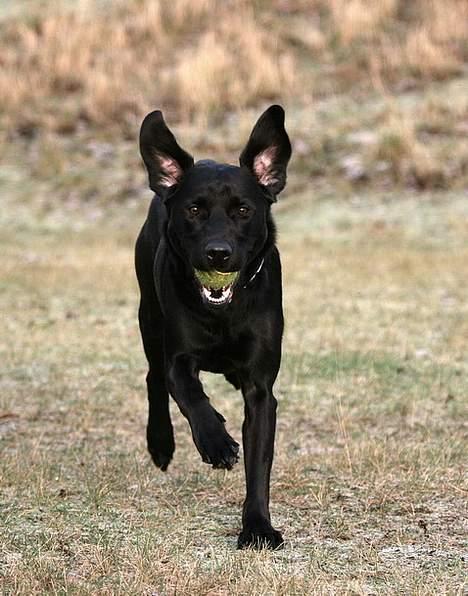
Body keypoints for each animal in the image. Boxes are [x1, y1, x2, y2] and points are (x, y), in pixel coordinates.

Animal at [133, 103, 290, 548]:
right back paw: (161, 444)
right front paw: (216, 442)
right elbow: (188, 393)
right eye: (194, 210)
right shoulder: (179, 357)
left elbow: (259, 464)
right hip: (149, 317)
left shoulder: (260, 389)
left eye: (243, 210)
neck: (224, 312)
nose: (217, 253)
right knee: (154, 378)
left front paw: (258, 527)